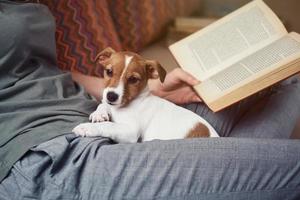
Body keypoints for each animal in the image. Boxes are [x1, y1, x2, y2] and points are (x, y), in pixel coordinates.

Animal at [72, 47, 218, 142]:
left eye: (133, 79)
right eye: (109, 71)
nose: (111, 96)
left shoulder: (130, 131)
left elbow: (108, 125)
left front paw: (86, 128)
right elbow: (103, 105)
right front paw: (99, 114)